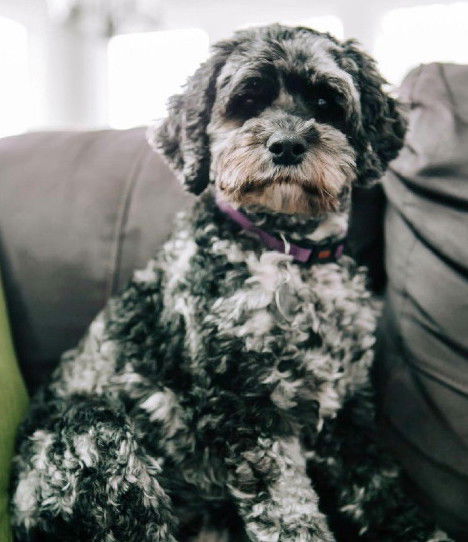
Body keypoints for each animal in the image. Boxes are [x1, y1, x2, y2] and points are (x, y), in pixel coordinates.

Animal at [10, 24, 450, 542]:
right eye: (247, 101)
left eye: (325, 102)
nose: (286, 145)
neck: (287, 252)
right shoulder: (242, 400)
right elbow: (286, 507)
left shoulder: (346, 407)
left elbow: (379, 486)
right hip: (98, 438)